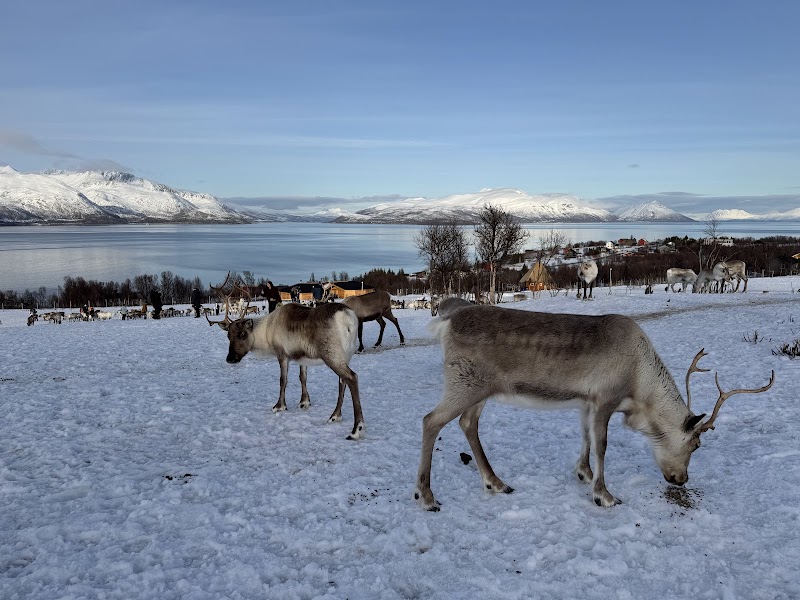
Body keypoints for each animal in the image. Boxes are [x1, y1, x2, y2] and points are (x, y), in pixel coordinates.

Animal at [207, 273, 365, 440]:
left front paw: (279, 406)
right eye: (228, 336)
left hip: (331, 354)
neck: (267, 331)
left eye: (242, 334)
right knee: (342, 381)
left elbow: (283, 380)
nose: (230, 358)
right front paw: (304, 402)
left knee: (352, 378)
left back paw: (356, 429)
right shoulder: (302, 357)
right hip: (345, 355)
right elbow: (302, 377)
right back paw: (335, 415)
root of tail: (348, 318)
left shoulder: (281, 354)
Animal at [414, 305, 774, 510]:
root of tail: (446, 322)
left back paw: (496, 482)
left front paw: (583, 473)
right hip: (465, 384)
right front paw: (604, 495)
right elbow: (602, 444)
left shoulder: (586, 402)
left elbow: (585, 436)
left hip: (480, 391)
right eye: (696, 445)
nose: (681, 480)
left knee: (467, 423)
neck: (638, 387)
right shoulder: (606, 399)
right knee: (431, 420)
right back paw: (427, 496)